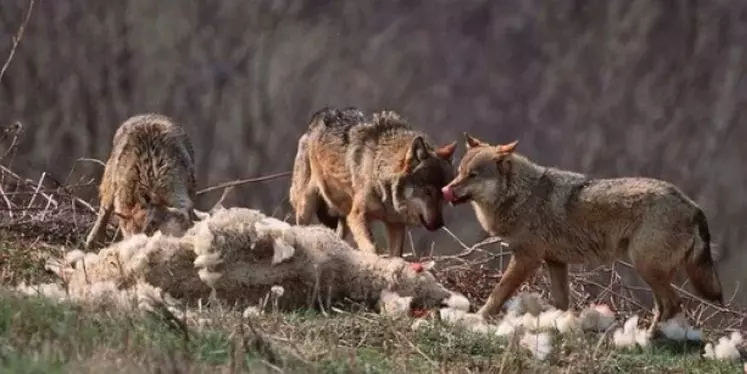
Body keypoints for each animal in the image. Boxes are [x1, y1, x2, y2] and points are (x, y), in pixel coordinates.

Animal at [84, 112, 200, 250]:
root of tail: (145, 115)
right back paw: (92, 241)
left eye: (152, 227)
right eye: (132, 234)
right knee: (104, 211)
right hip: (109, 184)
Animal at [290, 106, 456, 256]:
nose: (439, 224)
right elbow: (372, 248)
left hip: (343, 216)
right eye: (427, 191)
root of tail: (318, 117)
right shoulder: (357, 216)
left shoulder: (396, 225)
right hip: (306, 208)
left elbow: (396, 255)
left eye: (443, 194)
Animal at [444, 134, 724, 334]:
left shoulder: (526, 260)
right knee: (667, 305)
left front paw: (477, 318)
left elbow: (497, 294)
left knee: (672, 303)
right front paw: (558, 324)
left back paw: (650, 338)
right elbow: (561, 303)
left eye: (473, 175)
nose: (446, 190)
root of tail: (694, 207)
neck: (519, 195)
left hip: (646, 268)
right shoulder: (556, 262)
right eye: (459, 173)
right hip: (651, 272)